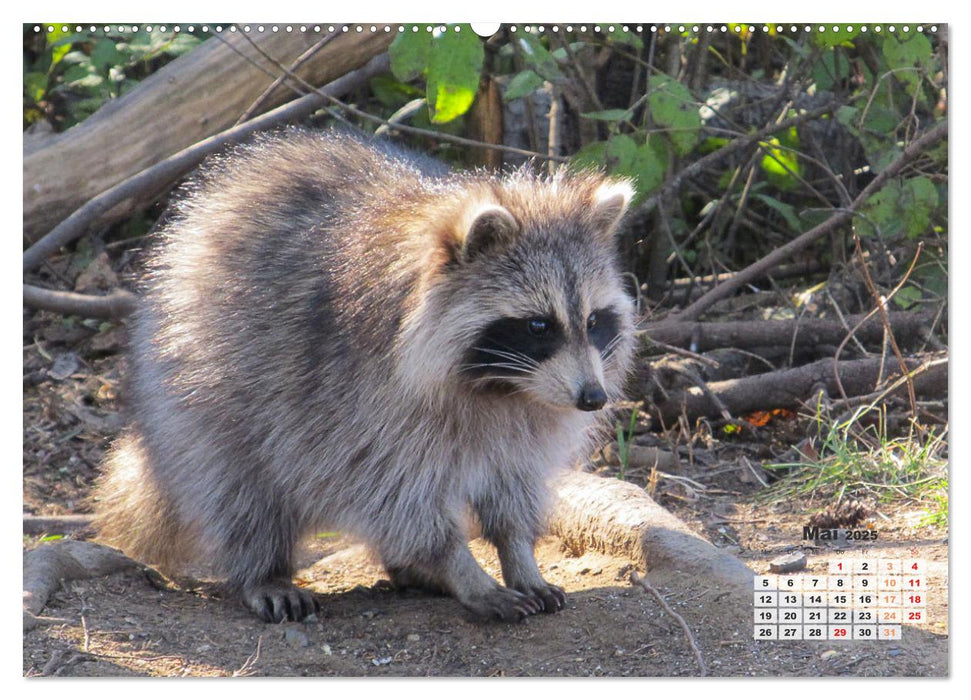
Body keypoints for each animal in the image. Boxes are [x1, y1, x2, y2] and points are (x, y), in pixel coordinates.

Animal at [91, 130, 636, 624]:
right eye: (539, 325)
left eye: (593, 320)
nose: (593, 397)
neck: (497, 384)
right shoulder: (362, 394)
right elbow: (392, 490)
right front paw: (461, 568)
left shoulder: (529, 409)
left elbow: (514, 479)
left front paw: (518, 554)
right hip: (201, 379)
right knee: (237, 483)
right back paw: (263, 569)